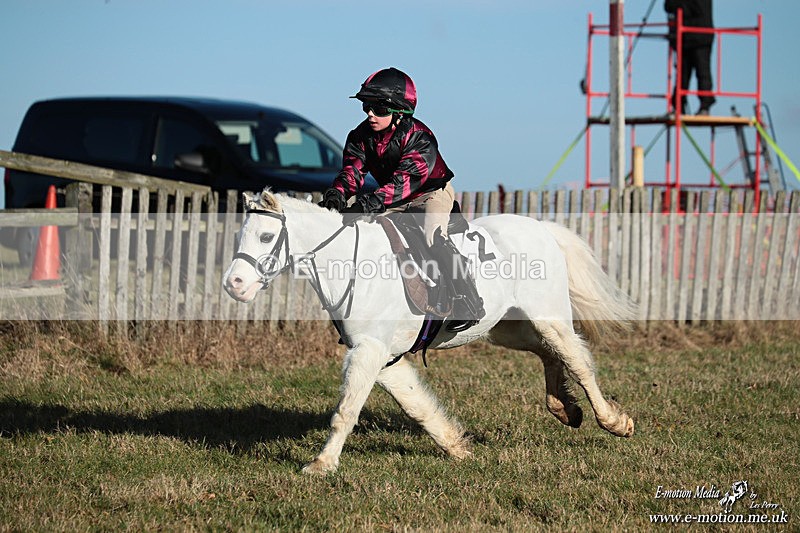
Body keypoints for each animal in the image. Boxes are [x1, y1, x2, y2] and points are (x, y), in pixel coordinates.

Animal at [223, 188, 636, 474]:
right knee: (548, 352)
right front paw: (457, 447)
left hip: (546, 315)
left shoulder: (369, 350)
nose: (234, 285)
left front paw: (321, 465)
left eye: (264, 237)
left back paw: (613, 421)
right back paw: (564, 407)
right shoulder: (380, 356)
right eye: (240, 236)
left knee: (575, 357)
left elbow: (347, 409)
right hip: (507, 327)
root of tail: (541, 228)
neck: (351, 263)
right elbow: (415, 405)